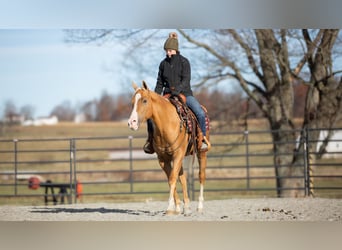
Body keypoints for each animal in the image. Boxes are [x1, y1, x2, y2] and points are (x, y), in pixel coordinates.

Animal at [127, 81, 210, 214]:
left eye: (144, 100)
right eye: (132, 102)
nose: (132, 123)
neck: (167, 125)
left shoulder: (177, 155)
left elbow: (172, 179)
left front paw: (170, 206)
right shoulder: (163, 159)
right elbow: (172, 179)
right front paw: (176, 207)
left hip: (201, 153)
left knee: (201, 176)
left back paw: (200, 206)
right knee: (182, 178)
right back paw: (186, 207)